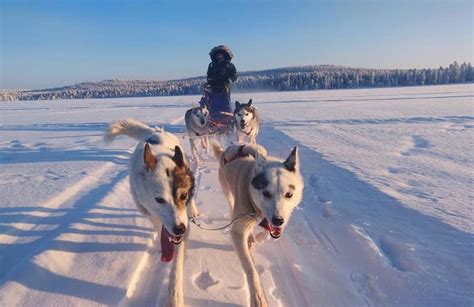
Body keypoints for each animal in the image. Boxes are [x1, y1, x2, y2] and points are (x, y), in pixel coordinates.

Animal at [104, 119, 197, 307]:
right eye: (159, 200)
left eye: (183, 195)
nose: (179, 229)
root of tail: (155, 132)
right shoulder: (150, 212)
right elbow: (160, 228)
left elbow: (176, 267)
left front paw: (174, 297)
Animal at [212, 143, 302, 306]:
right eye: (266, 193)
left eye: (289, 194)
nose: (278, 220)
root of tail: (224, 152)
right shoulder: (238, 230)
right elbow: (251, 269)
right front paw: (257, 296)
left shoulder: (281, 218)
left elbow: (268, 232)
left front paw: (259, 237)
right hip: (229, 193)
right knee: (232, 207)